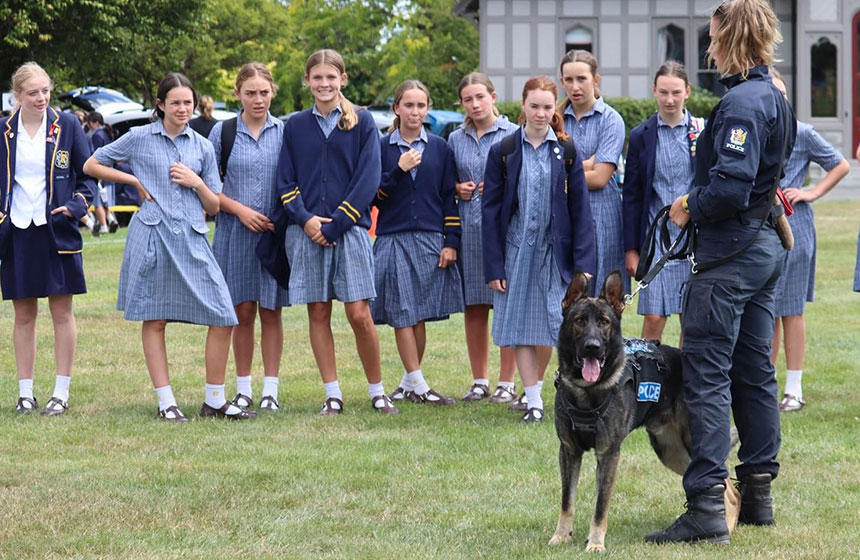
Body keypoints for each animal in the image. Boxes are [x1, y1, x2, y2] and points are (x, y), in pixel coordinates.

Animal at [552, 270, 740, 552]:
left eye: (604, 322)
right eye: (580, 321)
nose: (592, 347)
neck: (588, 390)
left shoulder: (608, 454)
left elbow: (600, 506)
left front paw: (595, 543)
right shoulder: (569, 451)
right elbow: (567, 502)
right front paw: (561, 536)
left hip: (692, 446)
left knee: (730, 489)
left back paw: (724, 529)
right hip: (672, 453)